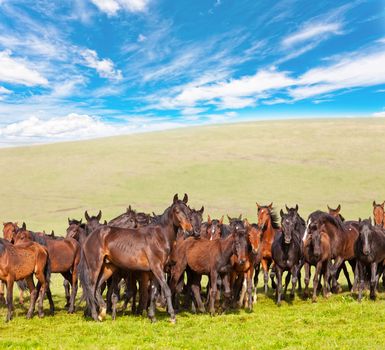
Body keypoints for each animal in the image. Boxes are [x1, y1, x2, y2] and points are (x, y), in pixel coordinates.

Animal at [79, 194, 192, 322]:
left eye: (188, 211)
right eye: (177, 211)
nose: (189, 230)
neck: (159, 237)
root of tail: (90, 237)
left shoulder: (154, 271)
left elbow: (153, 293)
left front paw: (152, 317)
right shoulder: (157, 268)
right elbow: (166, 290)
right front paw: (172, 317)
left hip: (108, 267)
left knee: (97, 287)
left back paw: (102, 312)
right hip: (95, 266)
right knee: (91, 287)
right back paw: (95, 316)